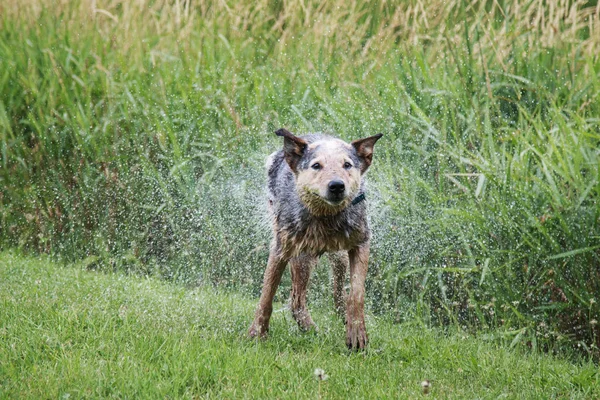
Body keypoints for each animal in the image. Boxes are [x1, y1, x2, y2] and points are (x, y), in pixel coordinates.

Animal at [250, 128, 384, 350]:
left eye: (347, 165)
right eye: (316, 165)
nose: (337, 185)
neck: (324, 217)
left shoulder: (360, 242)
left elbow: (356, 295)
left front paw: (356, 333)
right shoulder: (281, 248)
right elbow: (267, 295)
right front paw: (257, 334)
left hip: (338, 257)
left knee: (335, 292)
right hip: (301, 256)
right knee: (296, 299)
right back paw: (310, 328)